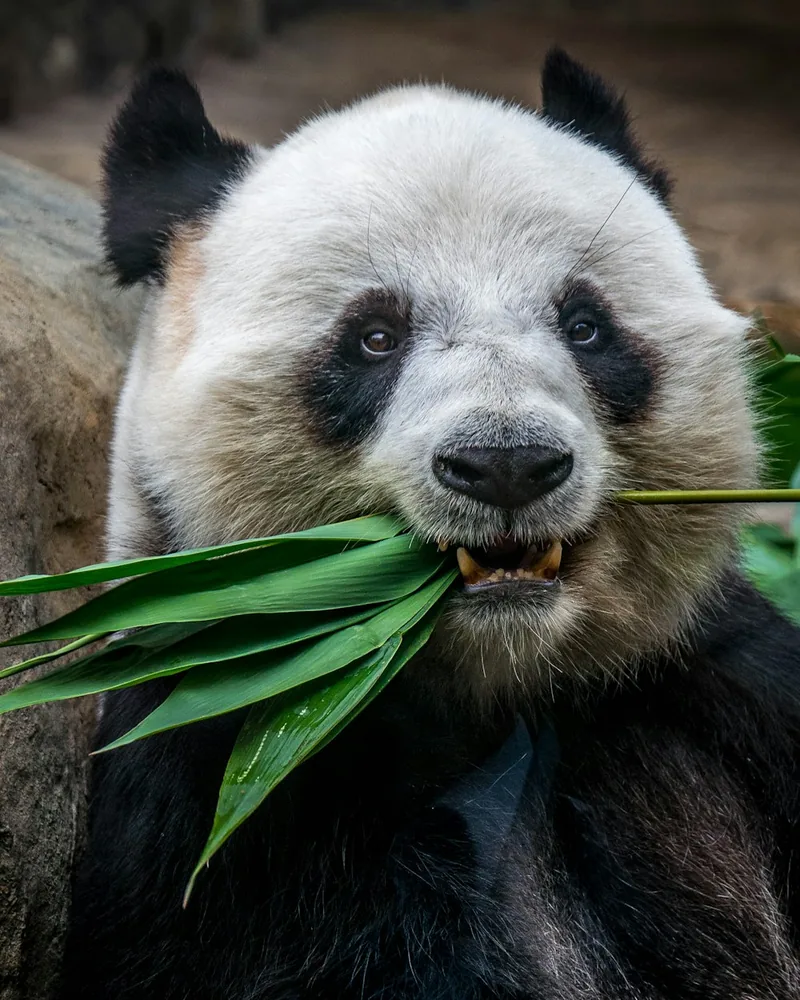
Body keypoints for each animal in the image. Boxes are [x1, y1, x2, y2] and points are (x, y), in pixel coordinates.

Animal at [60, 50, 800, 1000]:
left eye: (585, 324)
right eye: (375, 337)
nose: (507, 463)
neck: (495, 685)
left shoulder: (715, 687)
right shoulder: (237, 780)